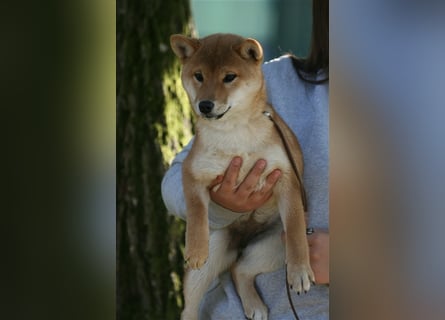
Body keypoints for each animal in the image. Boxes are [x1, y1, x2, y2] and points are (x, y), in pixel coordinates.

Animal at [170, 33, 316, 318]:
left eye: (229, 77)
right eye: (198, 76)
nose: (205, 105)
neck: (235, 134)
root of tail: (242, 240)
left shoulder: (286, 177)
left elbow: (295, 229)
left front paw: (299, 271)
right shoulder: (192, 171)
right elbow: (196, 210)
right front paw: (195, 247)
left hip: (273, 244)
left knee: (241, 269)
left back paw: (254, 304)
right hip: (215, 249)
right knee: (190, 306)